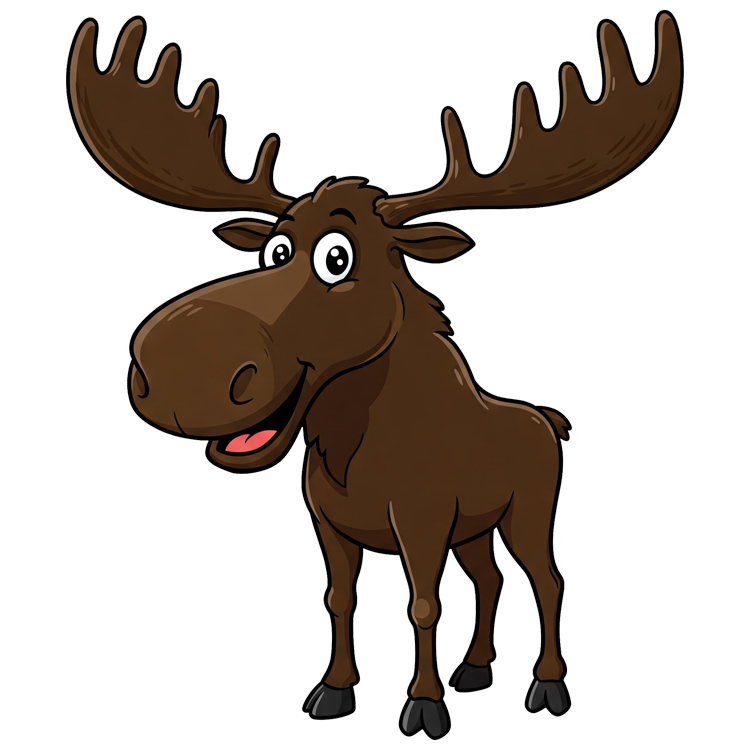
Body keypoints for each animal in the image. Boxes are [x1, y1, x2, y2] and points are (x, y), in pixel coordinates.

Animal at [69, 12, 681, 737]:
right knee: (491, 579)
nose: (182, 369)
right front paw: (335, 690)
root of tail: (551, 421)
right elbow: (338, 599)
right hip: (476, 528)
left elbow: (421, 605)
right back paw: (476, 669)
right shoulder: (330, 524)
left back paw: (547, 684)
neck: (352, 450)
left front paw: (424, 705)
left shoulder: (423, 520)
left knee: (548, 580)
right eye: (275, 250)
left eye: (338, 258)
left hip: (528, 513)